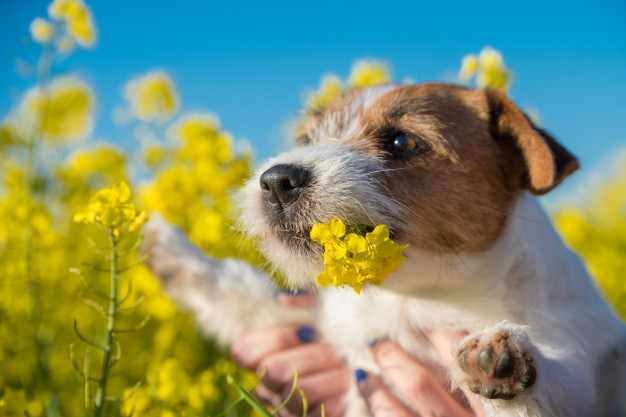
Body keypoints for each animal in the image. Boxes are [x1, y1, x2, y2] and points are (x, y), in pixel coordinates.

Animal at [144, 83, 624, 414]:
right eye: (308, 138)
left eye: (401, 142)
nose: (276, 181)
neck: (413, 300)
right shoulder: (327, 327)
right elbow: (245, 294)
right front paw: (170, 250)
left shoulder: (572, 350)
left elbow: (552, 389)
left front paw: (501, 366)